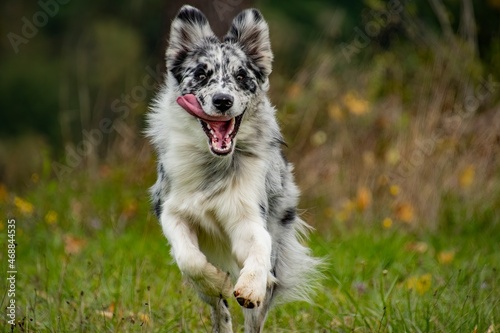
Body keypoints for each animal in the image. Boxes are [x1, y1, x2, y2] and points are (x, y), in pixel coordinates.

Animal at [146, 5, 322, 332]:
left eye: (242, 76)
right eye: (201, 75)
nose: (223, 100)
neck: (212, 167)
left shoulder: (247, 215)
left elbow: (258, 246)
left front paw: (248, 285)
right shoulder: (172, 210)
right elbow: (190, 259)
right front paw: (219, 281)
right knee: (218, 308)